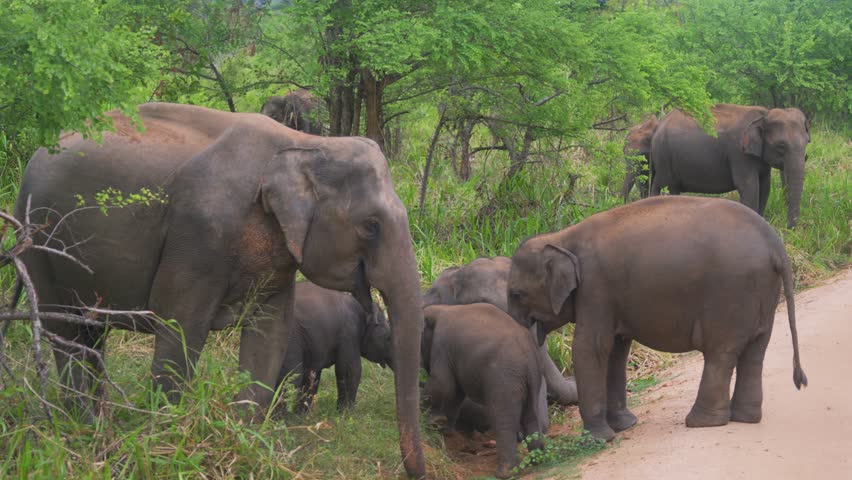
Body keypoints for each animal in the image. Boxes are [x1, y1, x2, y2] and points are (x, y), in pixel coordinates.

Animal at [15, 103, 425, 478]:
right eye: (370, 226)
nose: (414, 471)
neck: (304, 143)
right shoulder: (199, 238)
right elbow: (181, 329)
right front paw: (167, 445)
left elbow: (270, 336)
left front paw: (244, 441)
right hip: (40, 242)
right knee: (64, 331)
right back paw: (85, 429)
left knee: (92, 334)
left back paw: (100, 423)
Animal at [422, 303, 547, 479]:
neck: (440, 309)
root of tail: (528, 354)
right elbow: (456, 393)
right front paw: (446, 431)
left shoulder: (442, 345)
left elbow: (443, 383)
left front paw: (430, 420)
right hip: (533, 377)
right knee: (530, 414)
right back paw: (536, 460)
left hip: (504, 377)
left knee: (503, 418)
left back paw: (504, 473)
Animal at [506, 196, 807, 442]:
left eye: (517, 294)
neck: (562, 237)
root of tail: (776, 245)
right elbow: (616, 350)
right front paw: (625, 426)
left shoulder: (595, 288)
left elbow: (591, 347)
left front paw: (598, 439)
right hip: (763, 292)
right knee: (755, 351)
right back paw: (744, 418)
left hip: (731, 293)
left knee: (721, 353)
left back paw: (701, 423)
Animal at [649, 104, 809, 228]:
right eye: (781, 146)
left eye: (807, 142)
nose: (789, 229)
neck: (764, 114)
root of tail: (660, 124)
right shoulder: (739, 152)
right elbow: (749, 187)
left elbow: (765, 187)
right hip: (664, 156)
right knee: (664, 185)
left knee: (666, 187)